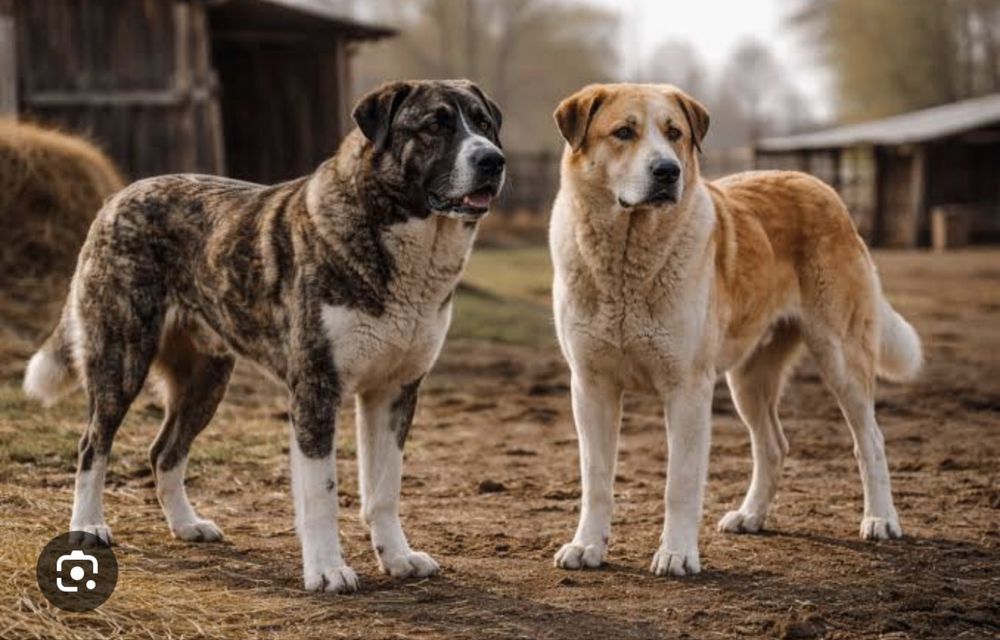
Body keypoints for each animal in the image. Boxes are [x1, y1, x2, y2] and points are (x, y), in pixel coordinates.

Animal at [23, 79, 505, 593]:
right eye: (436, 125)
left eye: (484, 123)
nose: (492, 160)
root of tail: (118, 196)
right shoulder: (316, 389)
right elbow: (322, 492)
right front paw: (326, 569)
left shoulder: (394, 393)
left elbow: (384, 490)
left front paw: (397, 558)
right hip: (121, 361)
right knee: (92, 446)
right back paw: (88, 525)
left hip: (206, 382)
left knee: (164, 452)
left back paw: (186, 525)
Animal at [548, 83, 922, 576]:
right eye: (623, 132)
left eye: (675, 133)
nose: (667, 171)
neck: (627, 259)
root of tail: (821, 187)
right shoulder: (591, 386)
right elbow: (596, 480)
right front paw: (587, 545)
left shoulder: (687, 388)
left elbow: (680, 483)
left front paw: (677, 553)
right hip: (747, 380)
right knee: (773, 445)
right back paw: (751, 516)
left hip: (840, 358)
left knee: (871, 440)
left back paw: (880, 519)